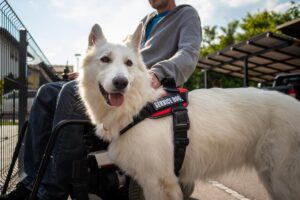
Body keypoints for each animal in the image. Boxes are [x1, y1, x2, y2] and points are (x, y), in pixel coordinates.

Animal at [78, 24, 300, 200]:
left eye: (128, 63)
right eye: (105, 59)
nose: (121, 83)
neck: (138, 108)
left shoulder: (159, 182)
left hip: (282, 180)